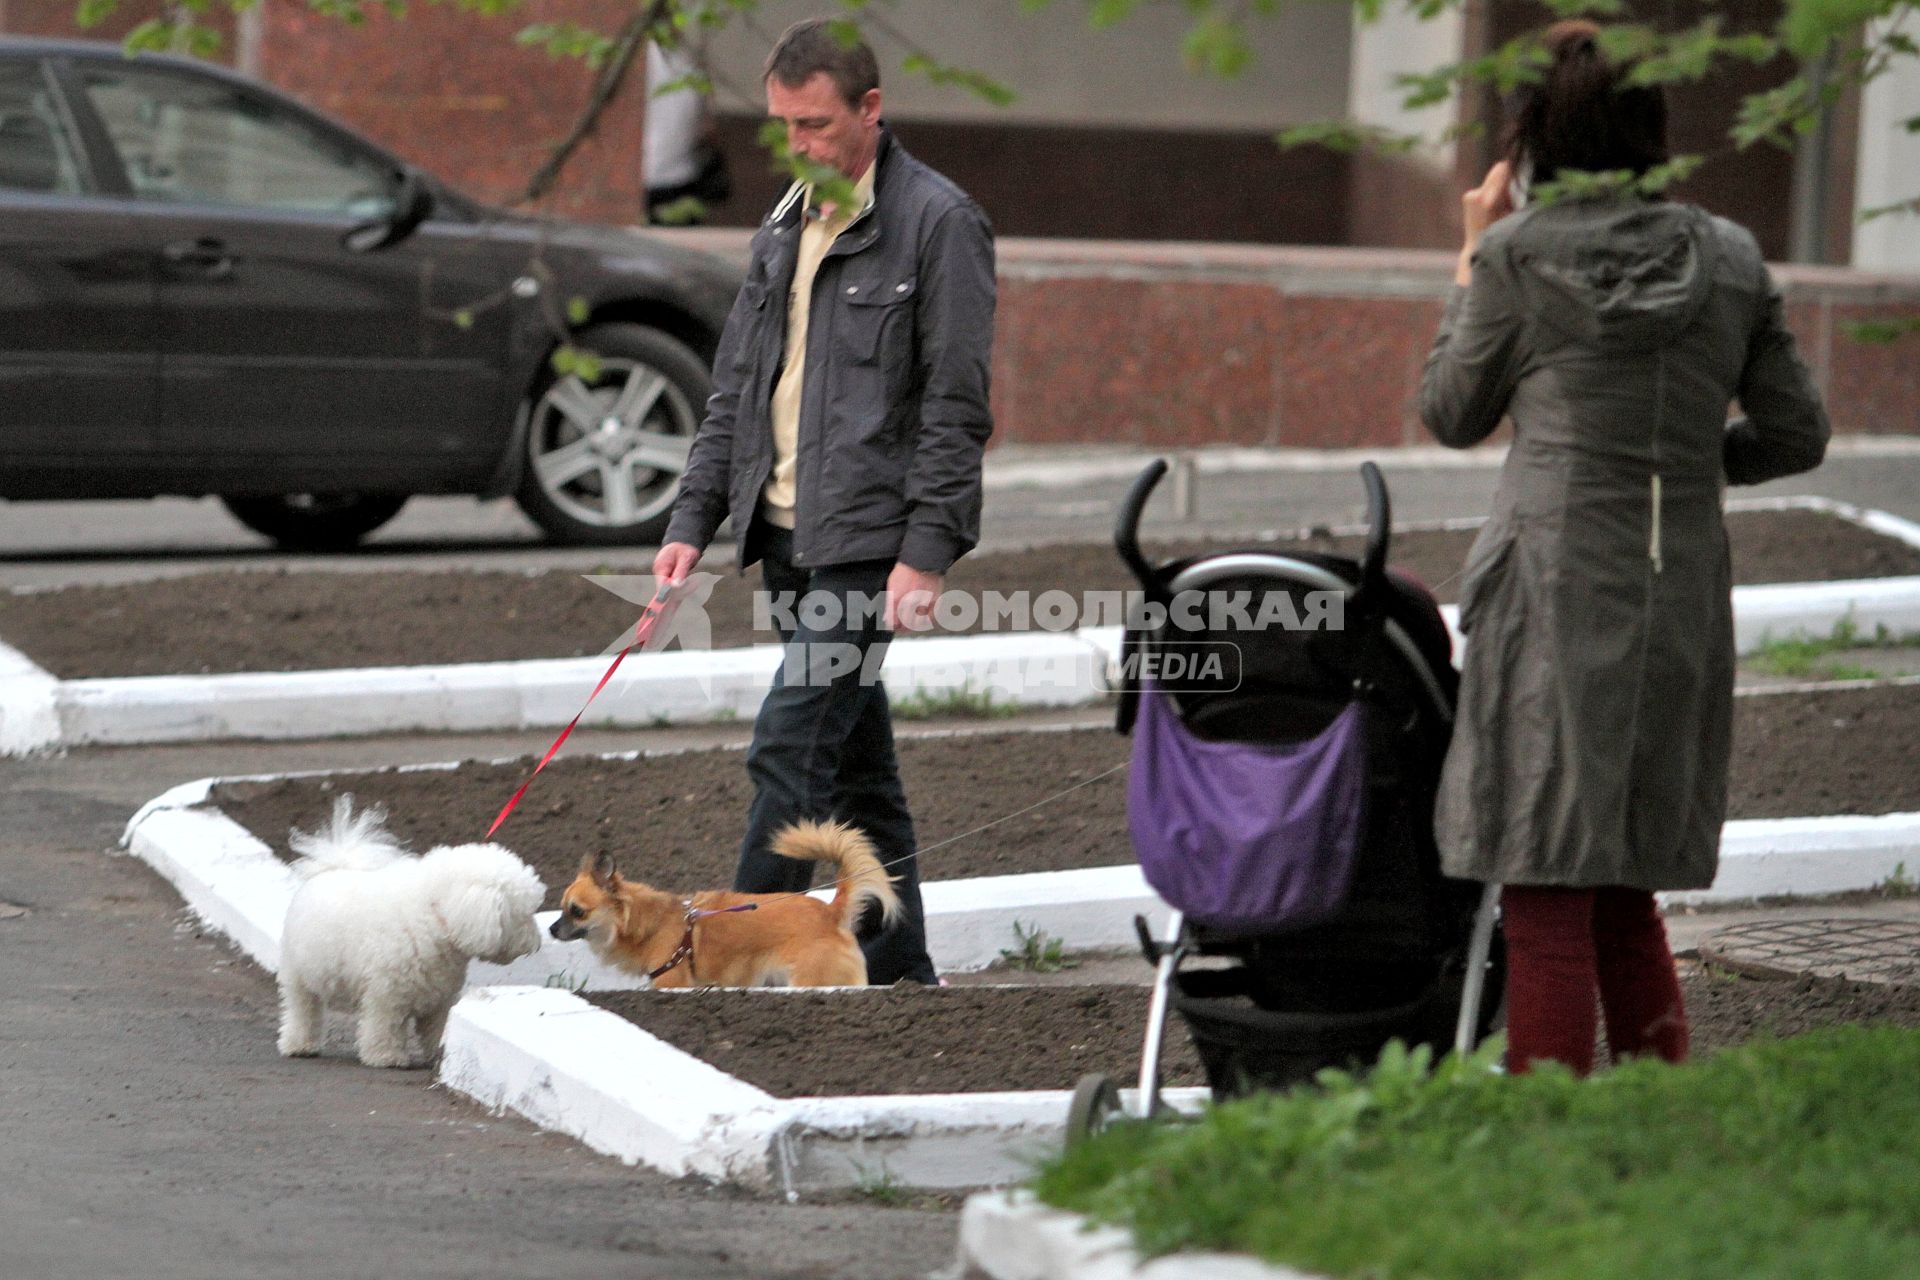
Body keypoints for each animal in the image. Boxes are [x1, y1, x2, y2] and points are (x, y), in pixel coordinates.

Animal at [270, 802, 545, 1074]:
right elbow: (385, 1026)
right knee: (303, 1009)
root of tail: (335, 866)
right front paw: (386, 1056)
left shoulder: (439, 997)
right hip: (299, 974)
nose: (536, 943)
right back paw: (299, 1044)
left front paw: (439, 1053)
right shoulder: (386, 994)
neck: (435, 914)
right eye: (521, 915)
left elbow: (437, 1027)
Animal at [541, 821, 898, 990]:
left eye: (576, 910)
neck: (650, 923)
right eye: (561, 907)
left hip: (812, 979)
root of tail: (830, 912)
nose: (552, 929)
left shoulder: (672, 982)